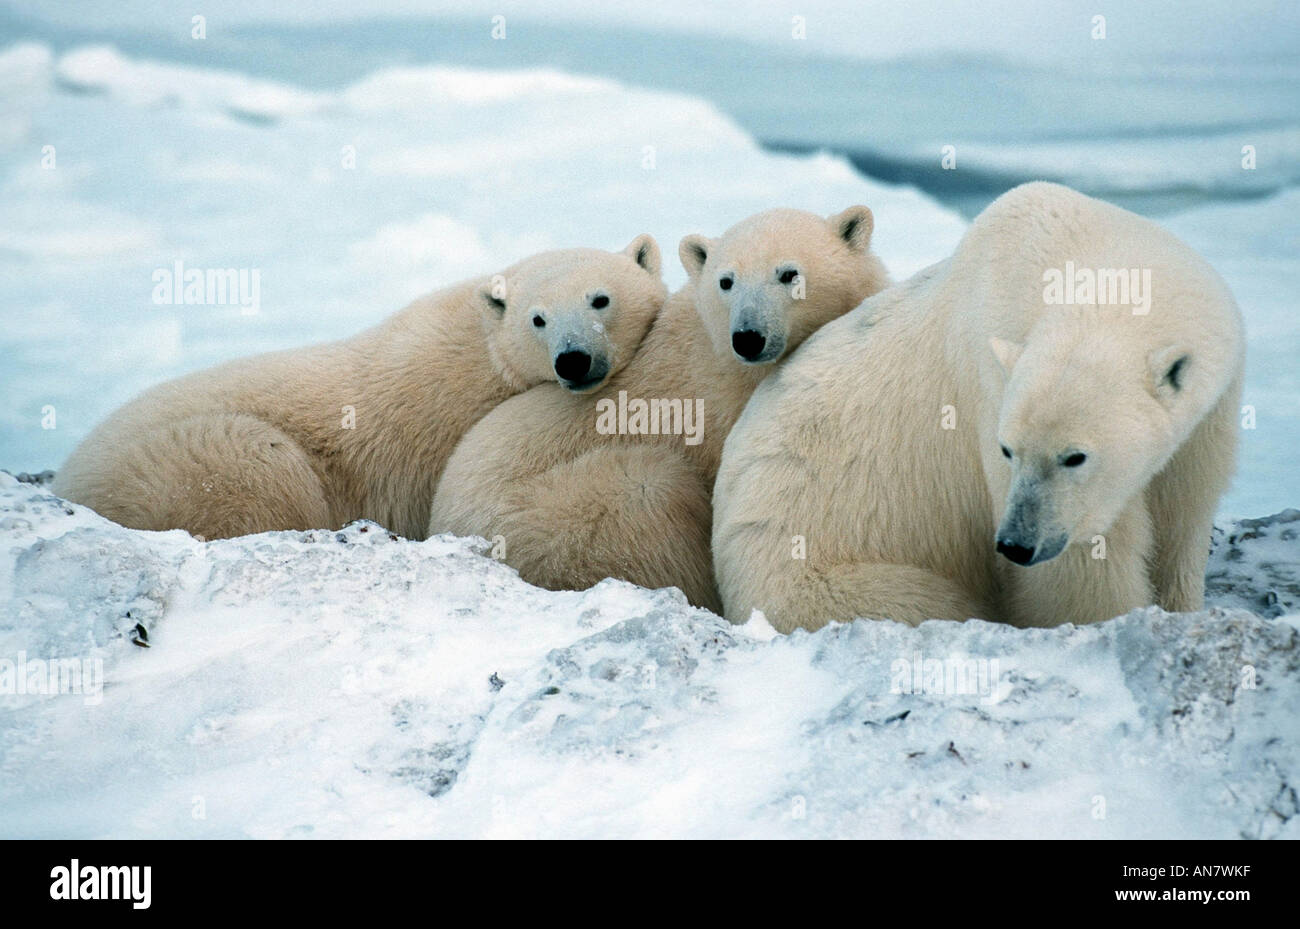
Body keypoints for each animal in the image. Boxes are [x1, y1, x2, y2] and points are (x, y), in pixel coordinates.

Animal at [52, 237, 666, 541]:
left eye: (600, 298)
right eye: (538, 319)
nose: (573, 359)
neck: (482, 349)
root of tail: (68, 482)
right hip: (178, 464)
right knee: (258, 465)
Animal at [428, 207, 890, 613]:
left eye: (788, 273)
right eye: (726, 281)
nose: (748, 337)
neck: (726, 360)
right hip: (554, 515)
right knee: (649, 490)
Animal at [712, 182, 1245, 632]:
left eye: (1075, 457)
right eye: (1008, 451)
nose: (1015, 544)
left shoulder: (1211, 411)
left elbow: (1185, 514)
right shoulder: (991, 385)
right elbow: (1082, 566)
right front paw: (1107, 619)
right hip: (816, 569)